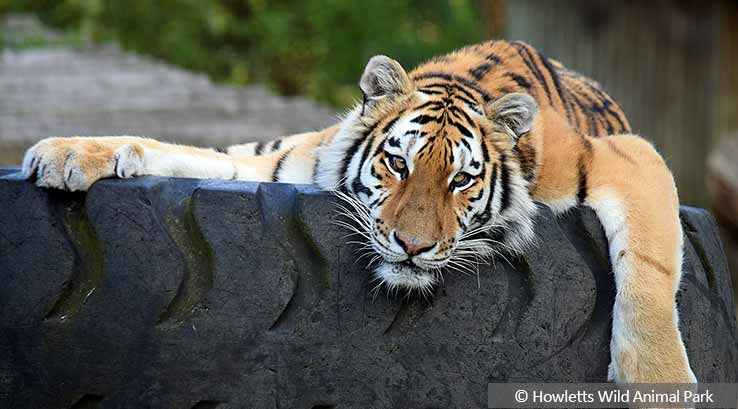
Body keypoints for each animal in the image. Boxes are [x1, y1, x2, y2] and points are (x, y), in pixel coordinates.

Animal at [21, 40, 695, 383]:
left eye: (461, 180)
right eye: (397, 164)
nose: (413, 247)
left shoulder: (627, 155)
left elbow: (651, 269)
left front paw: (659, 380)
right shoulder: (286, 161)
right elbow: (194, 155)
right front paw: (70, 152)